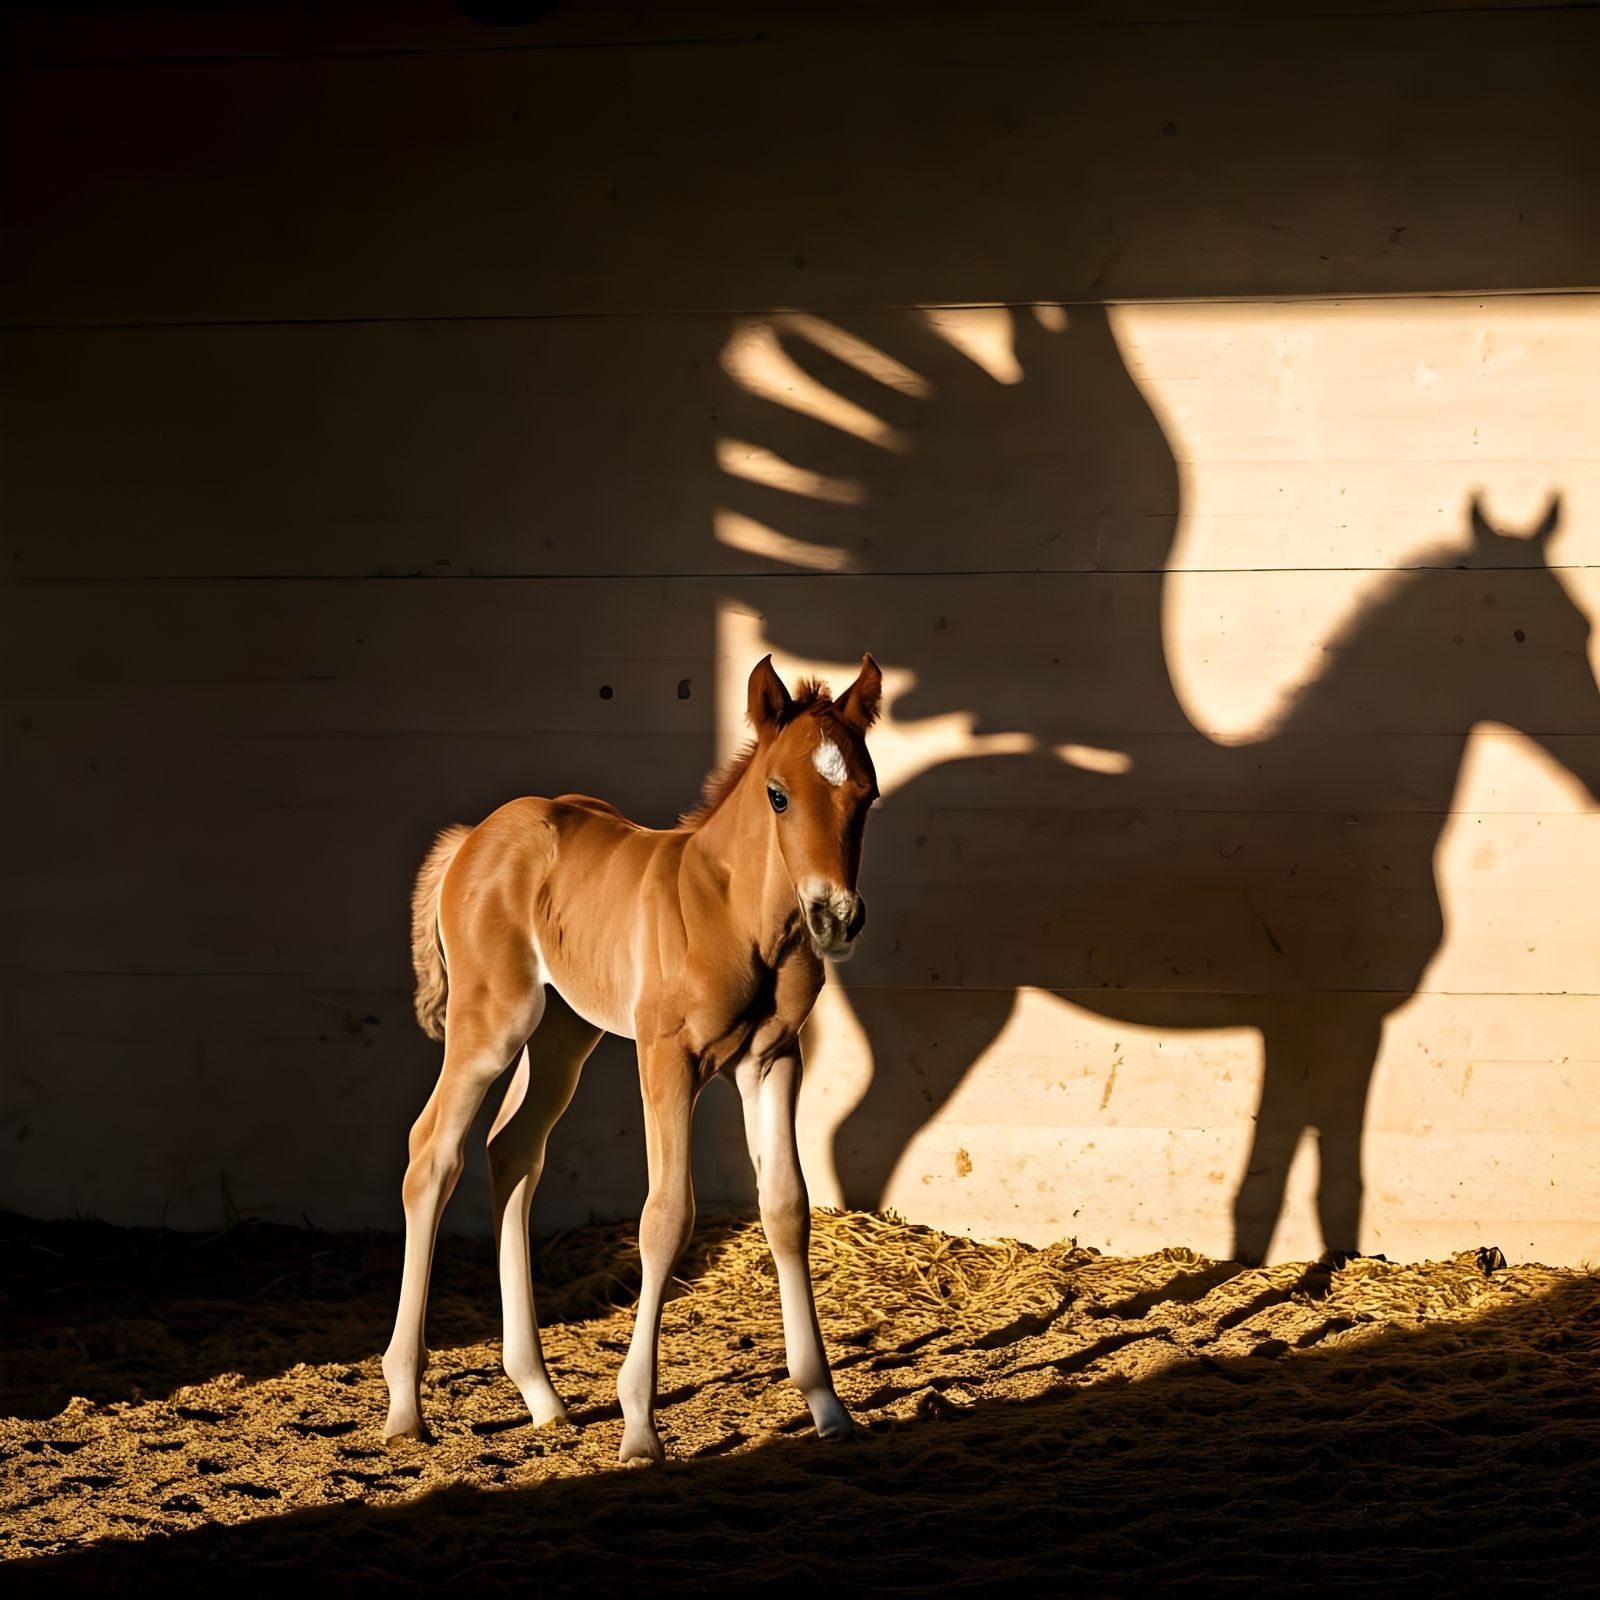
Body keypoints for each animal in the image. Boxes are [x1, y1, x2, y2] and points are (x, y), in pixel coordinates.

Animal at [382, 653, 882, 1465]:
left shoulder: (774, 1060)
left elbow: (786, 1208)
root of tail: (471, 839)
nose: (835, 916)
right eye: (777, 794)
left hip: (562, 1033)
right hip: (492, 1023)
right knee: (433, 1152)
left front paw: (827, 1407)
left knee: (512, 1150)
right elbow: (665, 1215)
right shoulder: (666, 1055)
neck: (737, 915)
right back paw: (404, 1405)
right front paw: (641, 1425)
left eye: (866, 796)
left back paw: (542, 1396)